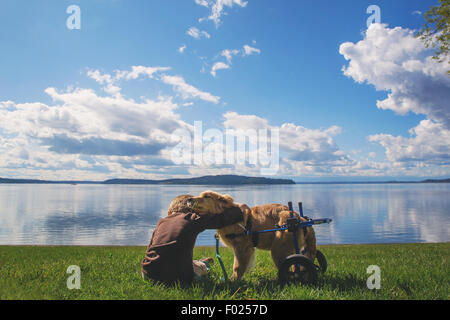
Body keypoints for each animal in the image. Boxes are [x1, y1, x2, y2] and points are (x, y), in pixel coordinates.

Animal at [185, 190, 316, 280]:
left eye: (206, 196)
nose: (189, 199)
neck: (228, 216)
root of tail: (301, 219)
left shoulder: (242, 247)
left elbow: (237, 266)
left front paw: (233, 281)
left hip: (279, 248)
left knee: (292, 266)